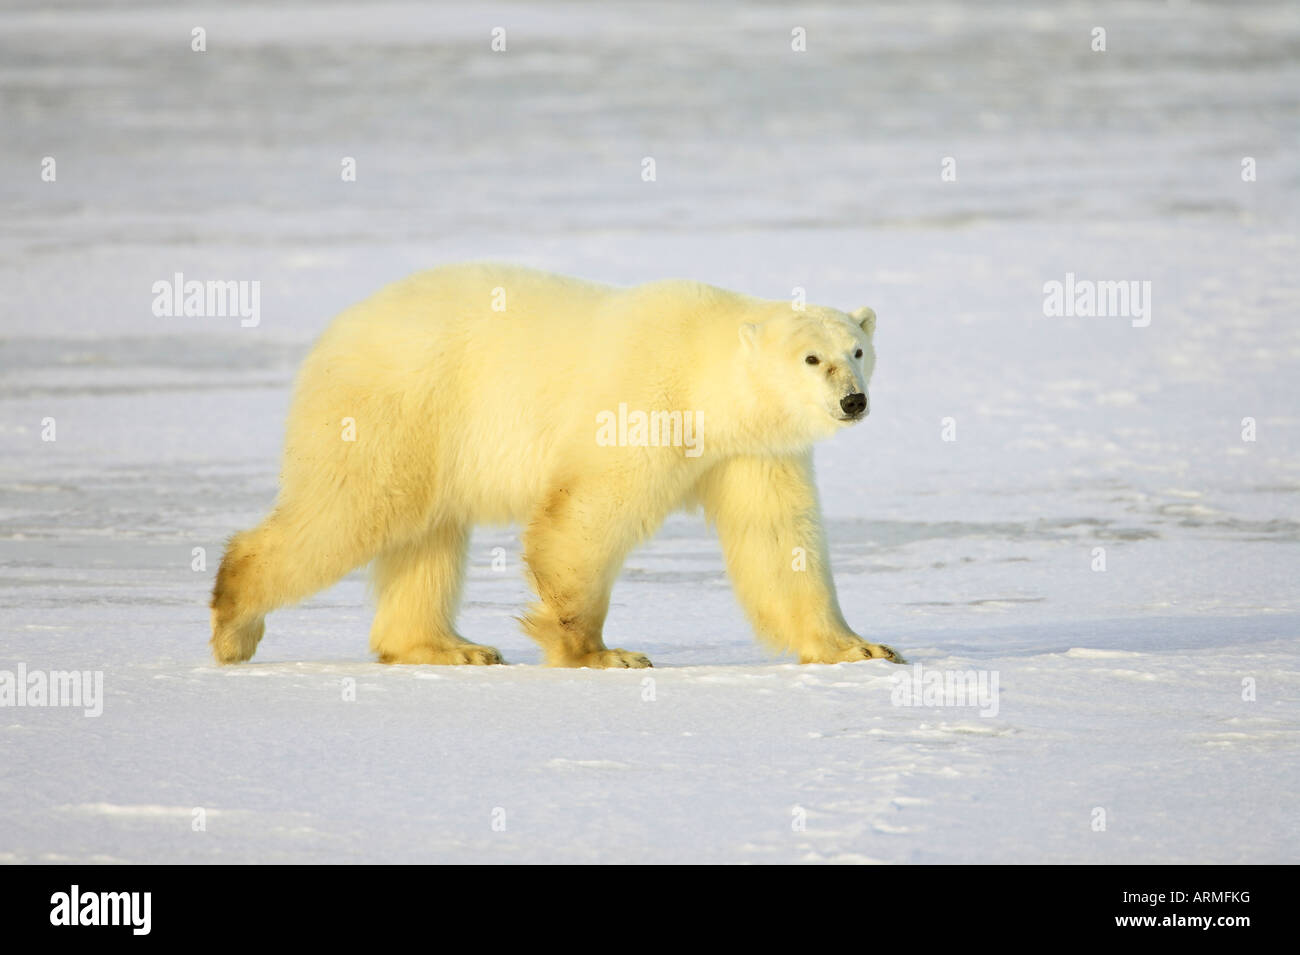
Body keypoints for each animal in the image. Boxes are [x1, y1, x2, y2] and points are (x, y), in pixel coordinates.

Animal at [210, 259, 904, 665]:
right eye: (812, 359)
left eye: (857, 349)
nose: (854, 401)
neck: (704, 374)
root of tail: (333, 334)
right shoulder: (643, 403)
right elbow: (587, 516)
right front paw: (598, 652)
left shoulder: (750, 451)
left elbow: (780, 542)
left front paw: (861, 646)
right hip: (397, 406)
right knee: (353, 509)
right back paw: (235, 622)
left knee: (427, 536)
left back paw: (450, 647)